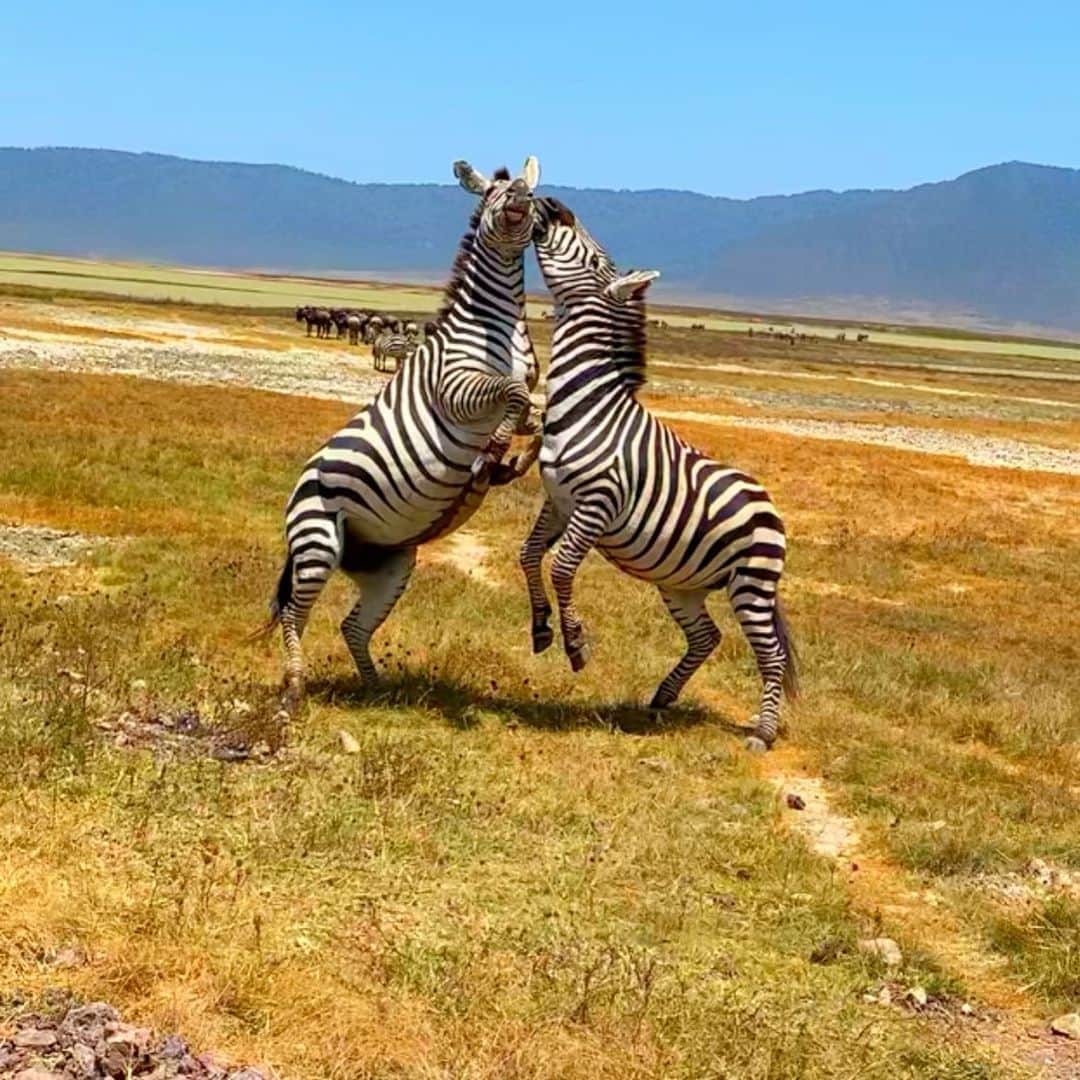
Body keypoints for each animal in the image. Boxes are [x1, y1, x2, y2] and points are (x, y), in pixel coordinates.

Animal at [258, 157, 543, 710]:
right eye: (494, 193)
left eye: (532, 189)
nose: (522, 193)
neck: (496, 322)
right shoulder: (456, 387)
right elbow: (515, 394)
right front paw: (498, 450)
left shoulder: (525, 385)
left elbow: (534, 411)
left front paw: (514, 460)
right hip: (317, 541)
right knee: (296, 613)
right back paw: (294, 689)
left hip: (391, 563)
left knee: (353, 626)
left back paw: (375, 691)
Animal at [520, 196, 798, 751]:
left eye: (591, 254)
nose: (555, 204)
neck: (587, 406)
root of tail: (769, 504)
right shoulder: (557, 500)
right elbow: (530, 555)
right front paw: (541, 628)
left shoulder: (595, 504)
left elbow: (561, 567)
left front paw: (575, 642)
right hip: (682, 582)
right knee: (707, 636)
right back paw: (662, 698)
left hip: (752, 583)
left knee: (772, 655)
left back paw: (762, 733)